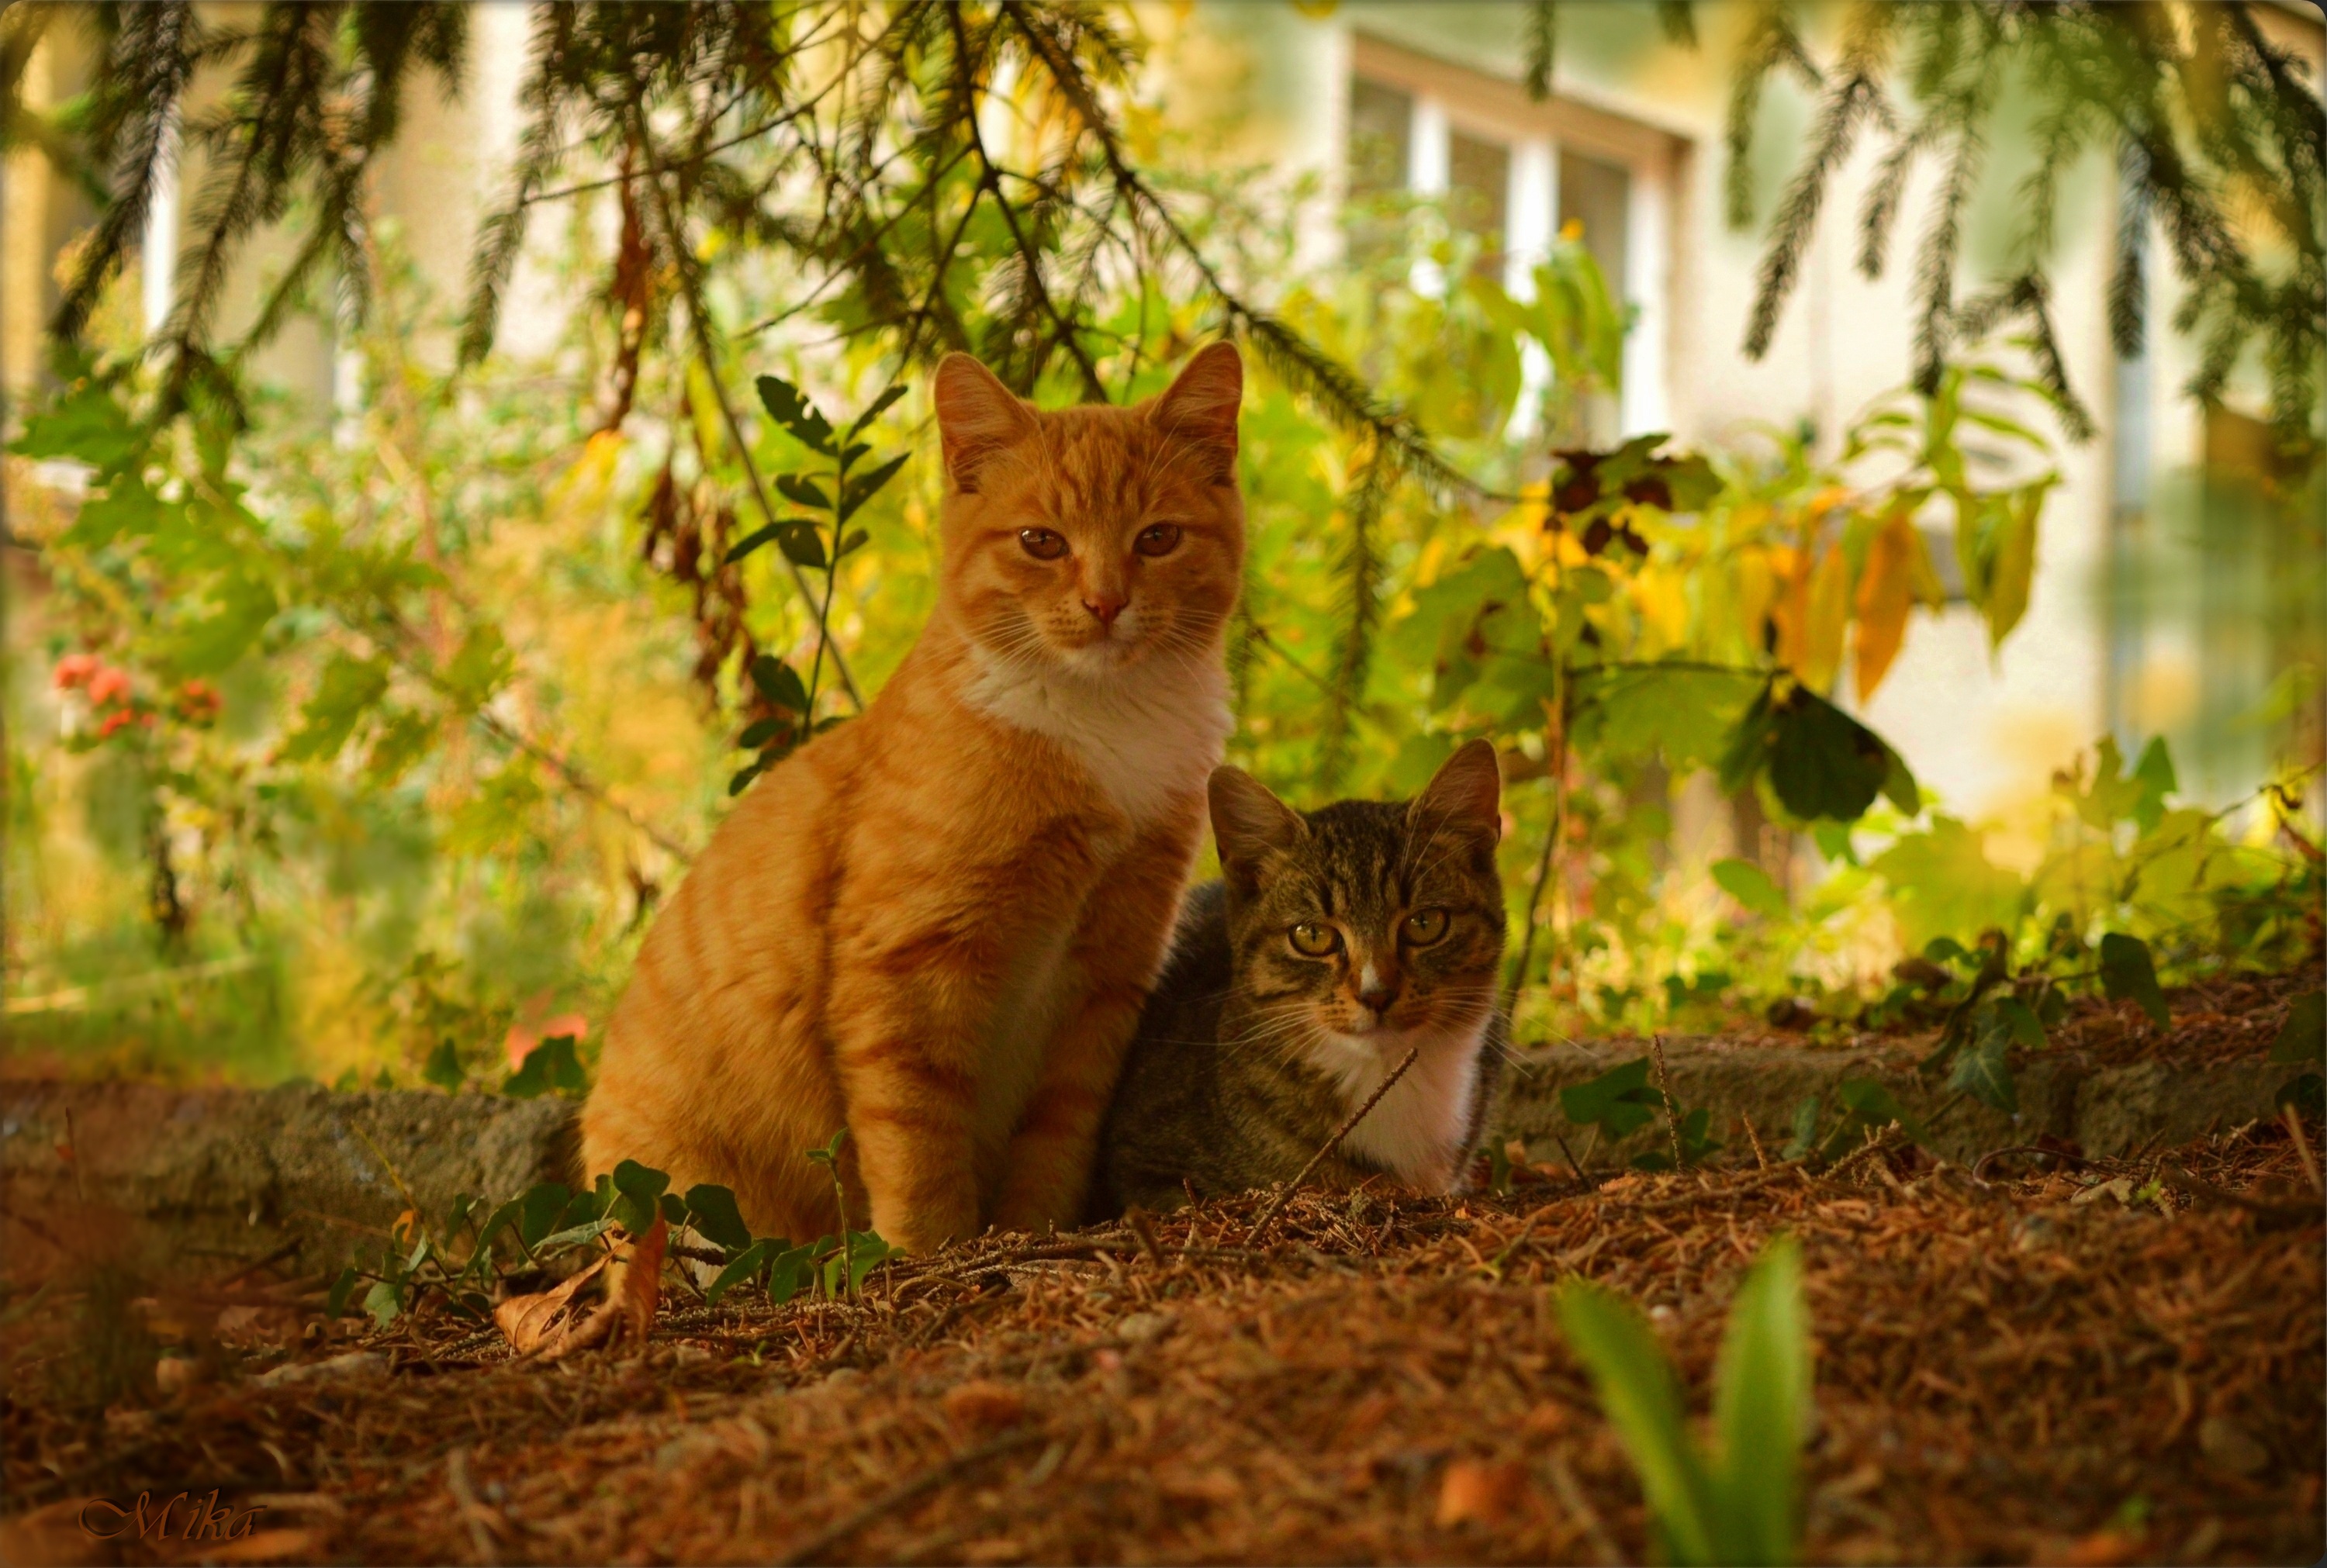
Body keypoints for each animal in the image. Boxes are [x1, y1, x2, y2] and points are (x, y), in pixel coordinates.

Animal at [577, 342, 1257, 1247]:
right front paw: (931, 1250)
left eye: (1158, 538)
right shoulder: (906, 959)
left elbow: (1057, 1137)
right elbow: (918, 1133)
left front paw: (1033, 1235)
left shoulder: (1109, 975)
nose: (1106, 603)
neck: (1102, 725)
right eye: (1041, 542)